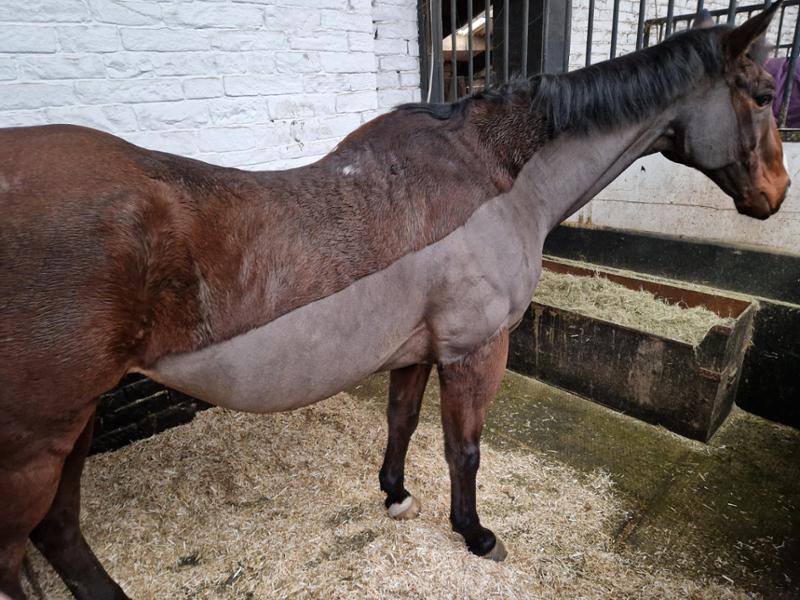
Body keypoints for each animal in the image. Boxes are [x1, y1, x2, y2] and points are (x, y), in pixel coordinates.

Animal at [0, 4, 789, 599]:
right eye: (762, 94)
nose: (776, 196)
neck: (494, 180)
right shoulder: (475, 349)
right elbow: (464, 447)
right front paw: (476, 534)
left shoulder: (416, 349)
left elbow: (403, 423)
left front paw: (394, 494)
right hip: (36, 443)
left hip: (74, 423)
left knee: (60, 529)